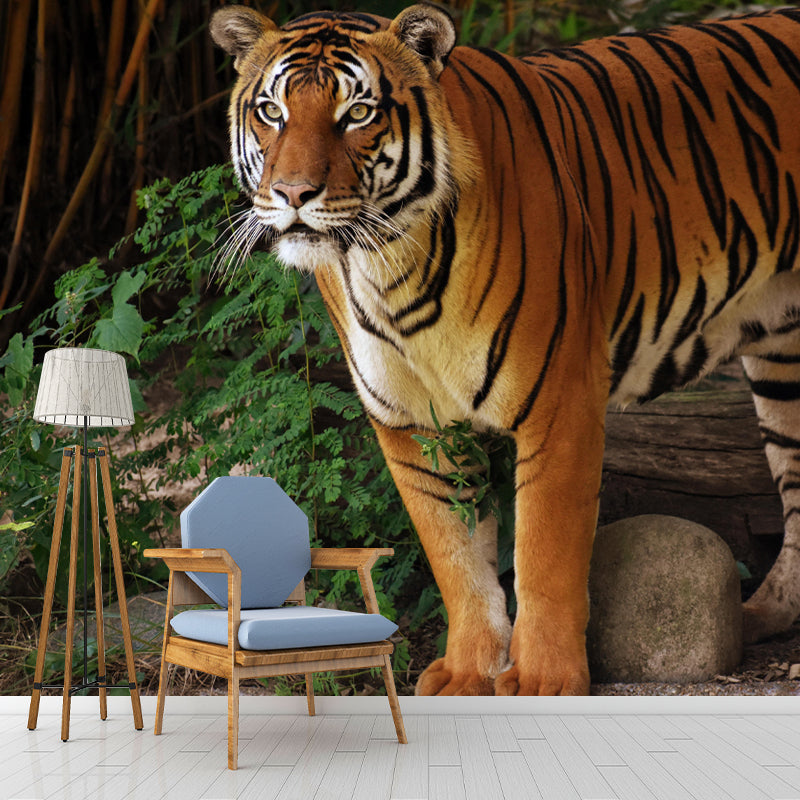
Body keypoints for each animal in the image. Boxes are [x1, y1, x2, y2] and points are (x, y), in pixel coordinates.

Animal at [209, 3, 800, 695]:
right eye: (271, 111)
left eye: (357, 112)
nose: (293, 194)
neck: (390, 269)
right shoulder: (413, 424)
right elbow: (456, 558)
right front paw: (469, 671)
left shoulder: (560, 403)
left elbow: (545, 551)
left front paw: (544, 678)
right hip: (784, 359)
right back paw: (763, 615)